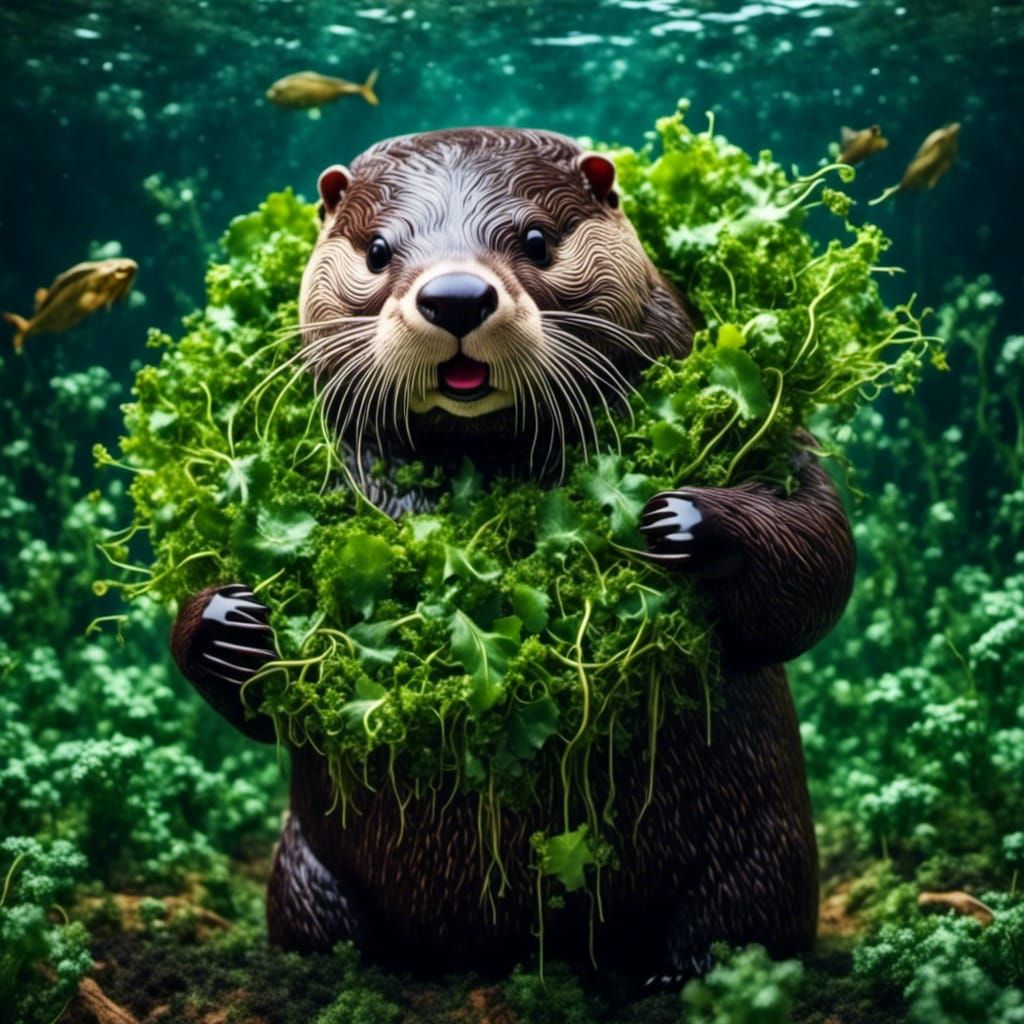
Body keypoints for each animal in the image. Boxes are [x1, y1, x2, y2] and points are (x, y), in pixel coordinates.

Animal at [170, 128, 855, 980]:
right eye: (377, 250)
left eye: (535, 240)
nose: (457, 296)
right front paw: (228, 623)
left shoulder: (780, 439)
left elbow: (817, 552)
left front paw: (682, 521)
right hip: (300, 866)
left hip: (769, 851)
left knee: (740, 931)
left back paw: (675, 974)